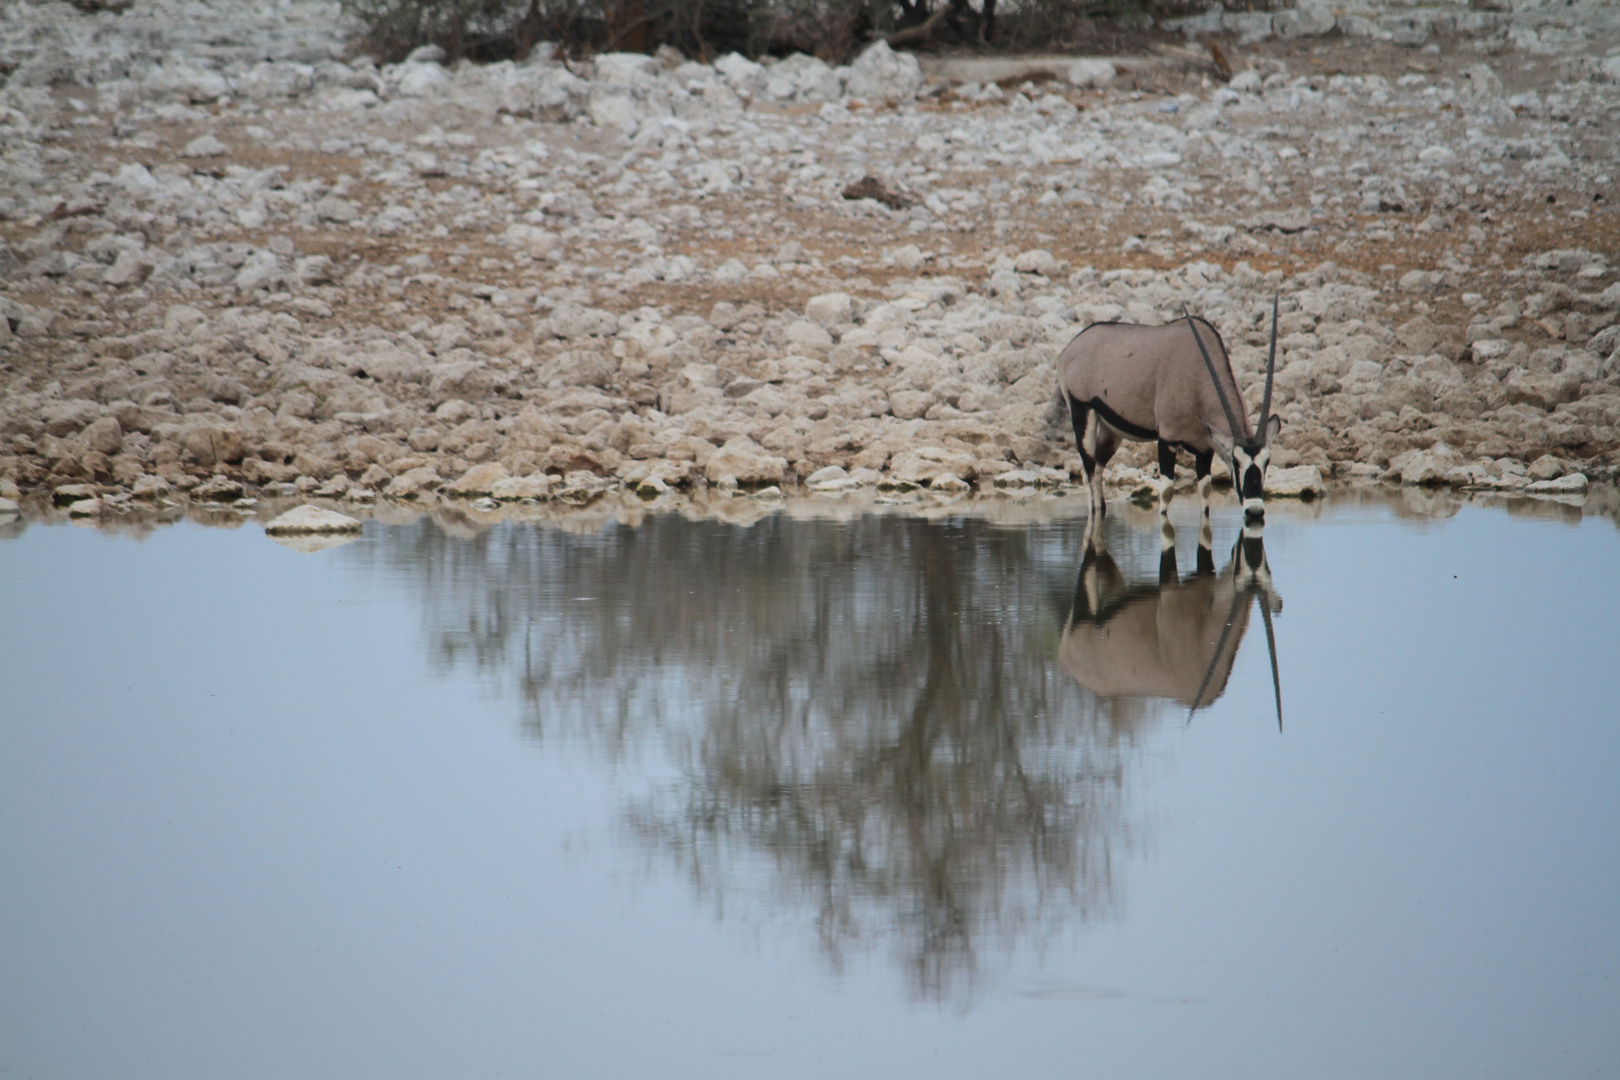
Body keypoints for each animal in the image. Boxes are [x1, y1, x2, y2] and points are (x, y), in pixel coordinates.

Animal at [1056, 293, 1283, 518]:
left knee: (1098, 469)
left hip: (1111, 430)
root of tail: (1069, 350)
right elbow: (1166, 492)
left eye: (1267, 461)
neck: (1196, 379)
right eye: (1236, 462)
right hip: (1082, 412)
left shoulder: (1204, 448)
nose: (1255, 511)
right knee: (1089, 469)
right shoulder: (1167, 439)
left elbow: (1205, 491)